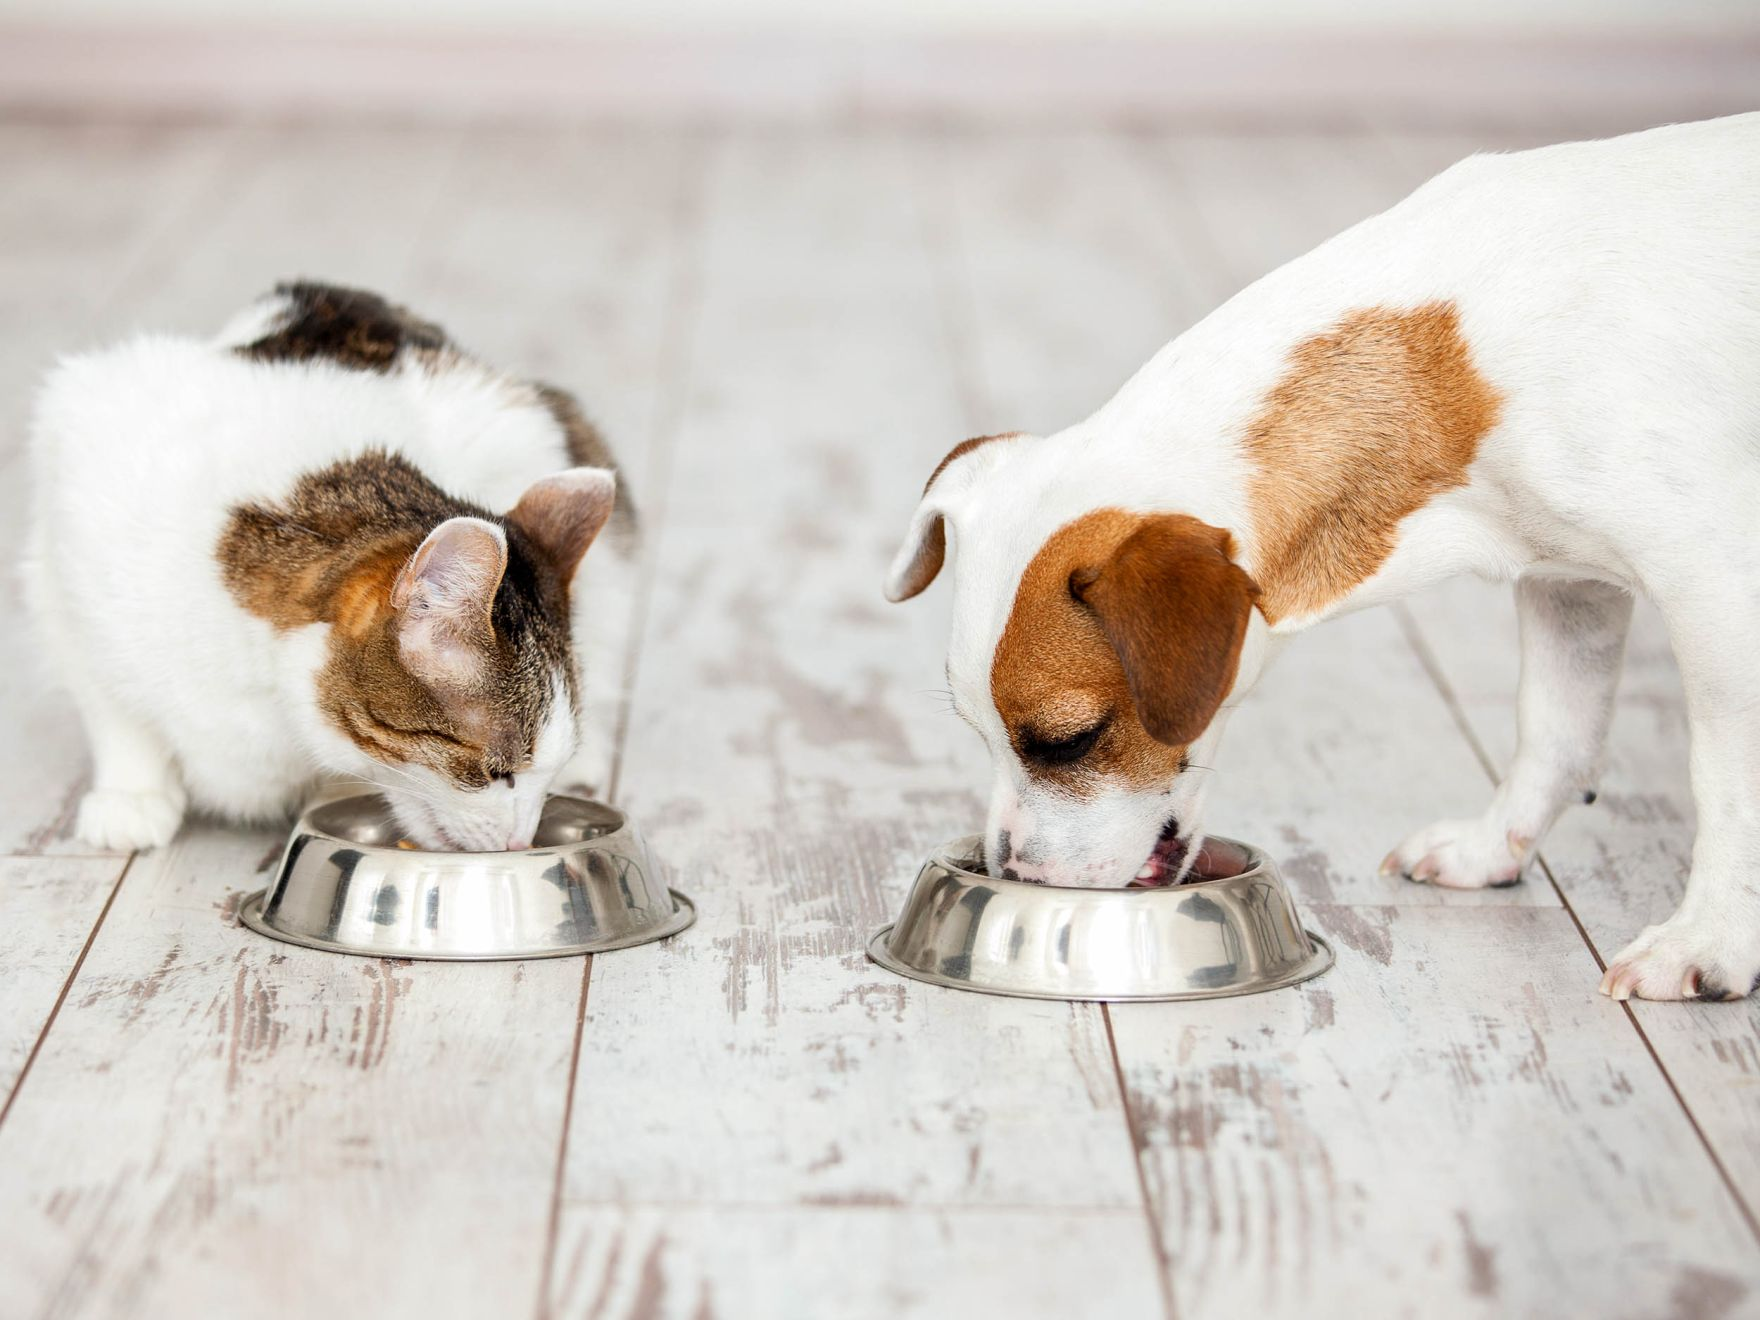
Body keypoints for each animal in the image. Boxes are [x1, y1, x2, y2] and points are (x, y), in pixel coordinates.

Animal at [22, 283, 640, 851]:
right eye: (498, 772)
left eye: (542, 774)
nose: (520, 843)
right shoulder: (68, 532)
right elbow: (111, 703)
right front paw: (132, 792)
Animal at [887, 116, 1760, 999]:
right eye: (977, 729)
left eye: (1069, 741)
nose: (1015, 875)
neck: (1455, 366)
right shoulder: (1568, 585)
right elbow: (1554, 731)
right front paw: (1491, 847)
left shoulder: (1719, 593)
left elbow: (1726, 783)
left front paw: (1710, 941)